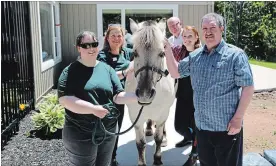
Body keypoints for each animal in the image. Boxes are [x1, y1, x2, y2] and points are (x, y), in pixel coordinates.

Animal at [125, 18, 175, 166]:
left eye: (162, 53)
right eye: (135, 53)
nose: (145, 93)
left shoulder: (163, 113)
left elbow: (158, 137)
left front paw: (157, 159)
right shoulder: (134, 116)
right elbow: (140, 143)